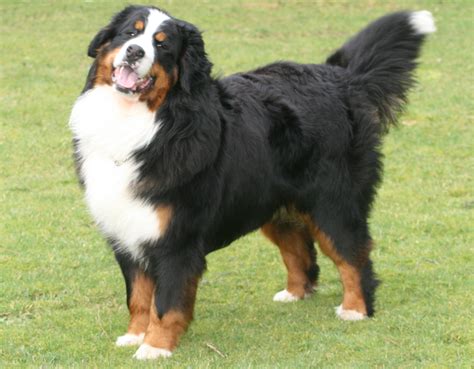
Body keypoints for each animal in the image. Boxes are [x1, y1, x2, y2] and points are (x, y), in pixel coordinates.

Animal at [68, 4, 436, 358]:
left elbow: (167, 302)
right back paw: (295, 294)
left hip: (333, 204)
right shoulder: (127, 230)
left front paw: (155, 347)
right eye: (131, 33)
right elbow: (139, 296)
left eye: (163, 45)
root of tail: (339, 77)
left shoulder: (176, 239)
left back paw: (355, 309)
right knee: (301, 251)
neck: (143, 122)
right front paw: (134, 336)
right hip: (271, 202)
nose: (134, 52)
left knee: (354, 256)